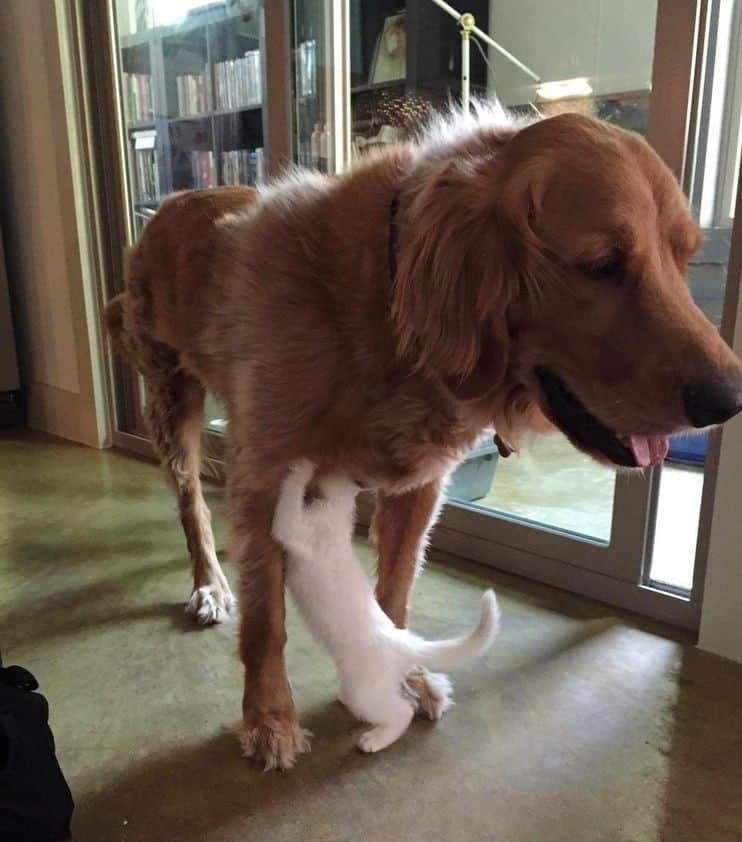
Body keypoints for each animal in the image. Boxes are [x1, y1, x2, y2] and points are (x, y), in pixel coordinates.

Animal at [270, 459, 498, 758]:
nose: (317, 464)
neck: (335, 509)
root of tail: (400, 638)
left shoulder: (294, 529)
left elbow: (289, 499)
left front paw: (298, 470)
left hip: (364, 692)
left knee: (404, 711)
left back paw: (374, 740)